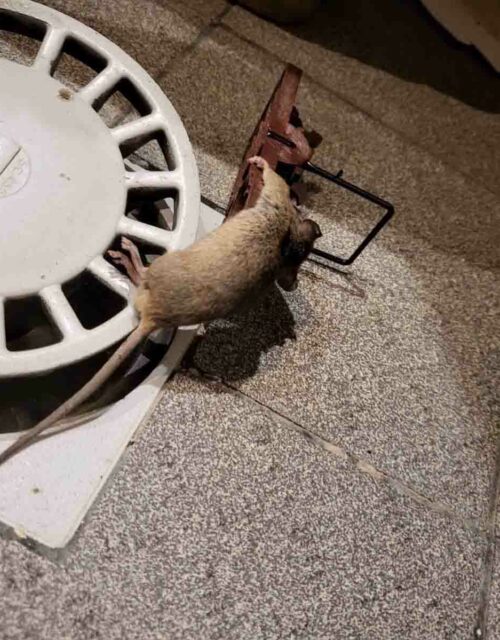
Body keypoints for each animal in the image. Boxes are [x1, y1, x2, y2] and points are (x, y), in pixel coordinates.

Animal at [0, 156, 321, 465]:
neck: (289, 238)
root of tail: (153, 317)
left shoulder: (275, 198)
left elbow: (274, 180)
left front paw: (258, 161)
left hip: (163, 265)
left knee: (141, 273)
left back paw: (126, 251)